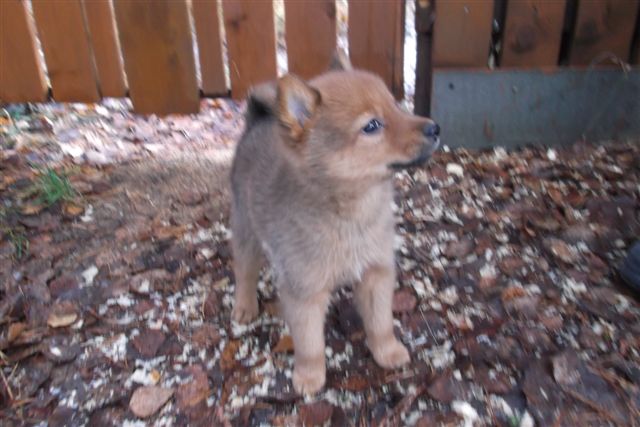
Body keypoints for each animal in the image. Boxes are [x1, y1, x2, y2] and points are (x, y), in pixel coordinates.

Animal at [229, 53, 440, 394]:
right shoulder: (305, 294)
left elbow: (381, 323)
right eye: (372, 126)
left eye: (396, 106)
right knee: (244, 271)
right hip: (246, 229)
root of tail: (256, 123)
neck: (350, 216)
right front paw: (309, 376)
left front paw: (388, 351)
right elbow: (310, 344)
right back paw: (245, 306)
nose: (435, 127)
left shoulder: (376, 273)